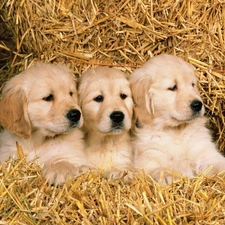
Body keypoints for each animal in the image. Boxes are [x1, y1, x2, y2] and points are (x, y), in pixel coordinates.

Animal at [129, 54, 225, 185]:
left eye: (192, 85)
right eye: (173, 87)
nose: (198, 105)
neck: (175, 131)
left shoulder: (204, 151)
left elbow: (218, 162)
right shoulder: (148, 159)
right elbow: (158, 169)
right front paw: (169, 176)